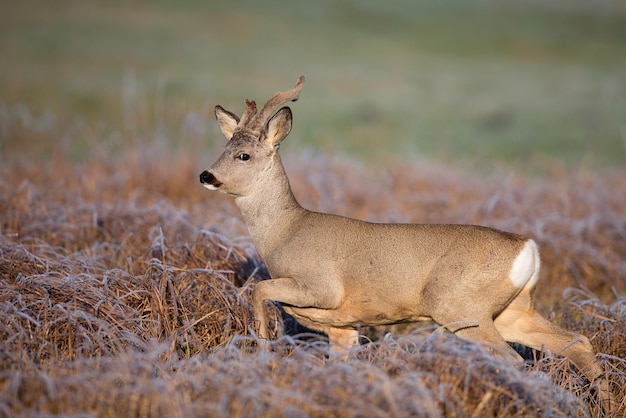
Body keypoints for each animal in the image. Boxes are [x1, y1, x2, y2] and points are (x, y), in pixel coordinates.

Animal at [201, 76, 616, 414]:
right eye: (222, 149)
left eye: (244, 155)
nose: (206, 175)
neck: (286, 232)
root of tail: (527, 247)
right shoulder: (343, 328)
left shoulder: (321, 287)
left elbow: (258, 289)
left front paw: (261, 346)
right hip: (513, 311)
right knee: (577, 342)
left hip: (459, 306)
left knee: (513, 359)